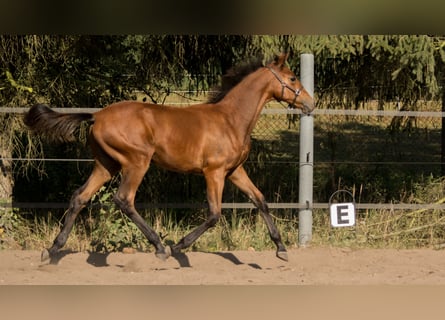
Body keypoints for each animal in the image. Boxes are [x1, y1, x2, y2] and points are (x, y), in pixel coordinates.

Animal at [24, 52, 314, 262]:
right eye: (292, 78)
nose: (311, 103)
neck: (231, 120)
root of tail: (97, 116)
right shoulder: (214, 173)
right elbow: (214, 214)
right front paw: (178, 246)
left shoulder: (234, 171)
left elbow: (260, 200)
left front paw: (281, 248)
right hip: (136, 162)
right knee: (124, 199)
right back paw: (160, 247)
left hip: (106, 165)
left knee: (79, 197)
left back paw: (52, 250)